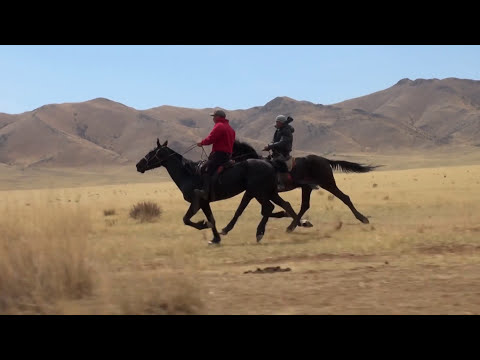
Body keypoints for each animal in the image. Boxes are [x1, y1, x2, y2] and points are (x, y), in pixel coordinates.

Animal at [135, 139, 298, 245]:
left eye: (151, 152)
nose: (138, 165)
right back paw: (293, 223)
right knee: (284, 205)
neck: (188, 174)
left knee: (268, 208)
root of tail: (270, 163)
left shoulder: (197, 201)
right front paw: (215, 239)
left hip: (258, 192)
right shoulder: (205, 203)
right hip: (266, 192)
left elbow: (186, 219)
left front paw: (203, 225)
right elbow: (211, 219)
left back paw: (259, 232)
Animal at [219, 141, 380, 236]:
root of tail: (324, 160)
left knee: (344, 197)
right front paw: (302, 222)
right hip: (308, 188)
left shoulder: (259, 192)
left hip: (327, 183)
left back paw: (363, 218)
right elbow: (281, 207)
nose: (225, 162)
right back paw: (293, 225)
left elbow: (271, 208)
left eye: (231, 149)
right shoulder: (265, 193)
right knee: (305, 205)